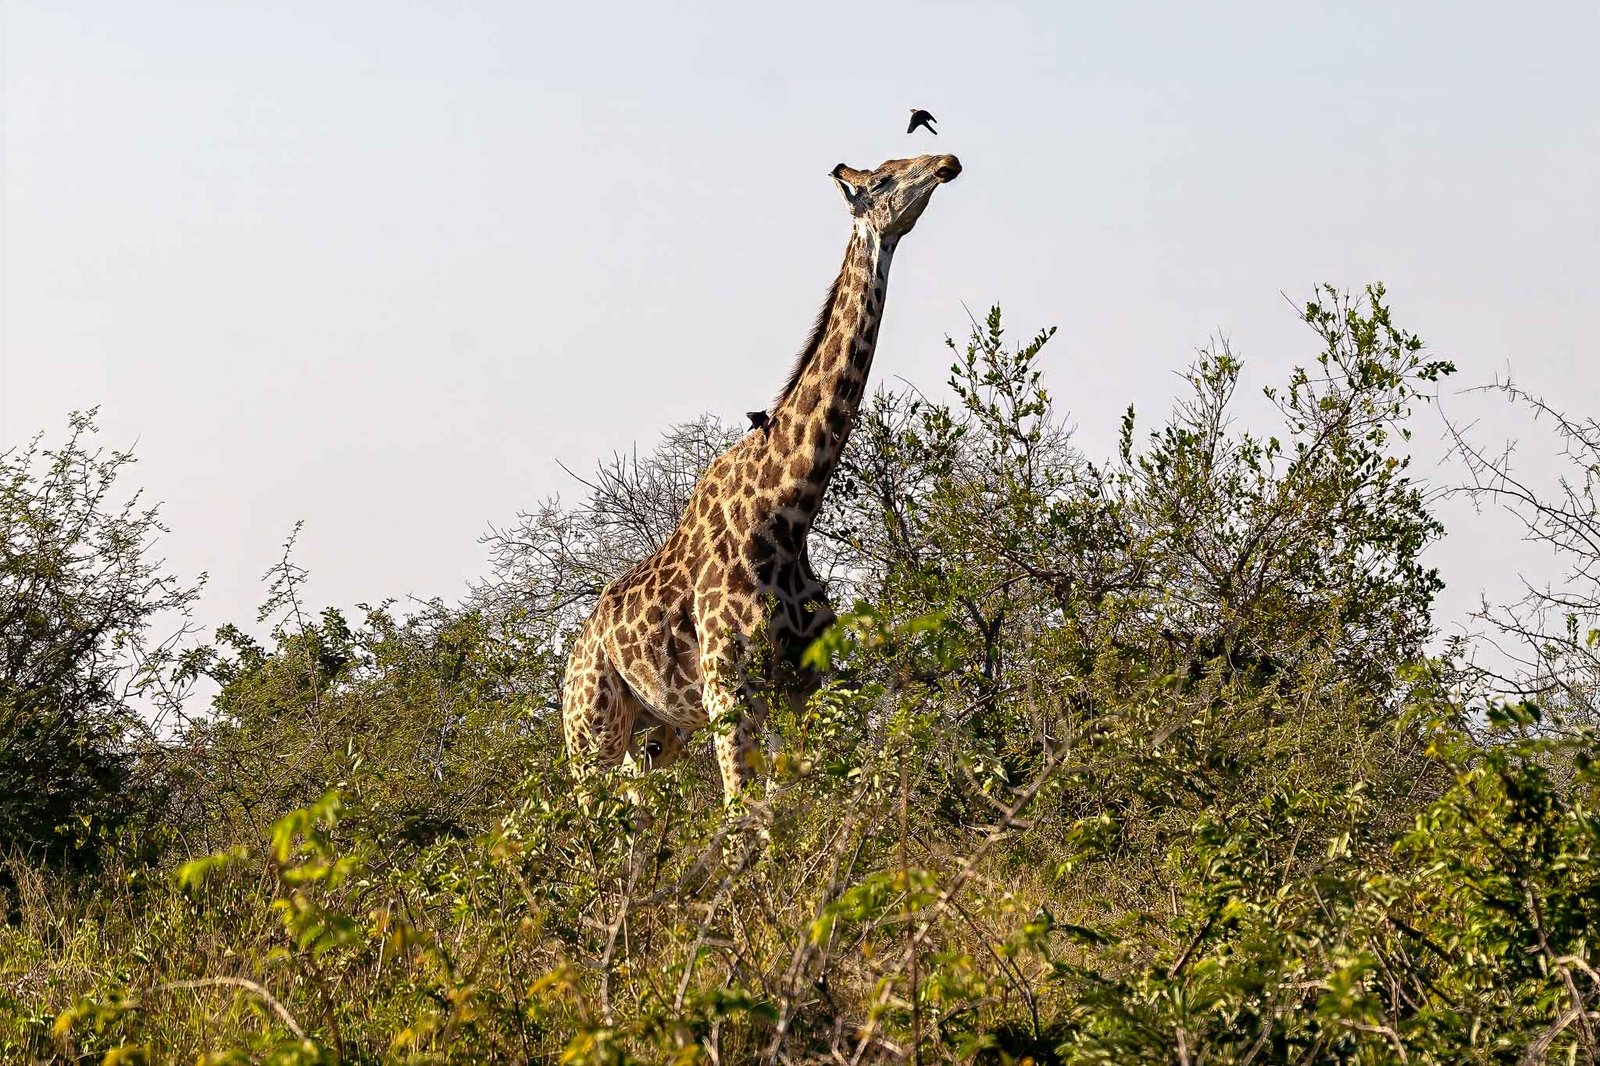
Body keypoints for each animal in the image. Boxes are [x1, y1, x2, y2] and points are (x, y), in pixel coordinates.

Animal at [562, 152, 962, 803]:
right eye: (882, 179)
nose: (945, 162)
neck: (788, 509)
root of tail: (574, 651)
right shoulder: (728, 689)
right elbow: (742, 812)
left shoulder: (802, 687)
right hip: (591, 732)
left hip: (655, 736)